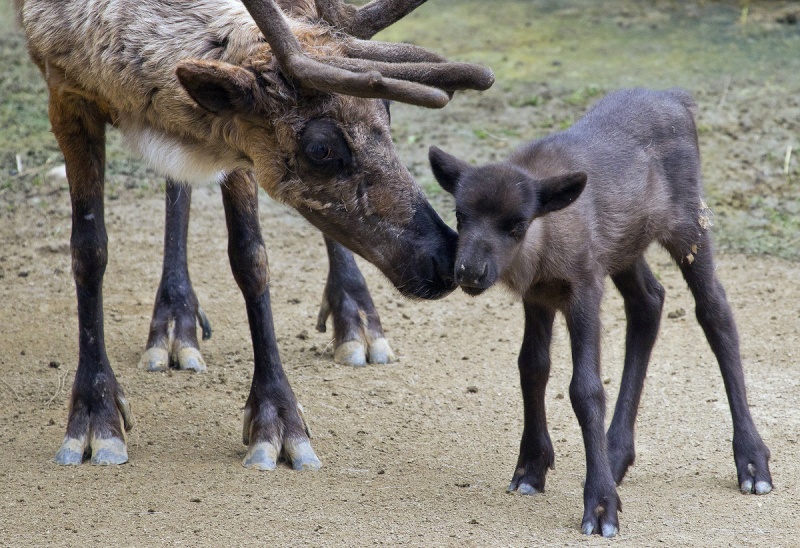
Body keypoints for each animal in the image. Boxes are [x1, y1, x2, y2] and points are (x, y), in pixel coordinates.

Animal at [428, 89, 772, 536]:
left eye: (517, 223)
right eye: (460, 215)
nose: (469, 272)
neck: (544, 246)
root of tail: (677, 97)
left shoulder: (585, 288)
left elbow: (586, 390)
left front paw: (600, 506)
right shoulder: (538, 297)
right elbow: (532, 367)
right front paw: (531, 468)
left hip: (689, 224)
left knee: (715, 311)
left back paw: (751, 460)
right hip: (625, 246)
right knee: (649, 301)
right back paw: (615, 454)